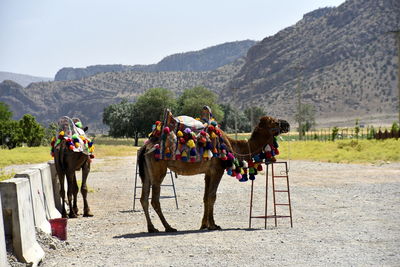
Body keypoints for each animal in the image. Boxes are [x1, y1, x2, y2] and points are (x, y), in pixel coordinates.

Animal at [139, 116, 290, 233]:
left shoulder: (208, 173)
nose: (287, 124)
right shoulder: (217, 170)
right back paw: (168, 227)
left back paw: (152, 228)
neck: (232, 147)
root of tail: (145, 146)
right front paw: (213, 225)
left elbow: (206, 197)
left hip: (146, 174)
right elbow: (212, 196)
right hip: (158, 170)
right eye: (275, 122)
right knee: (155, 199)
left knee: (143, 198)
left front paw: (204, 225)